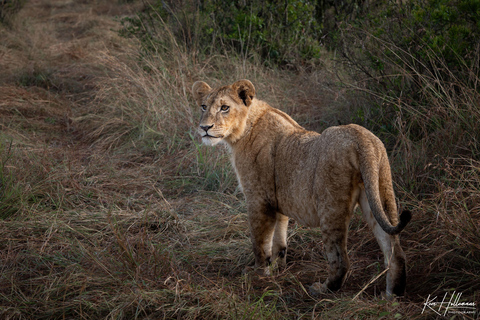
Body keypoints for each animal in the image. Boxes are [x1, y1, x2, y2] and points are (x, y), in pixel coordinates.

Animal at [193, 79, 410, 296]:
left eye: (224, 107)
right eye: (203, 106)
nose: (204, 127)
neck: (244, 128)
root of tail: (361, 138)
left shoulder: (258, 199)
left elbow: (259, 241)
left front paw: (257, 274)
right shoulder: (277, 202)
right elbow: (279, 240)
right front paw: (277, 268)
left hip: (330, 207)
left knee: (341, 259)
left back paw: (323, 289)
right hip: (380, 192)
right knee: (394, 249)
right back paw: (391, 294)